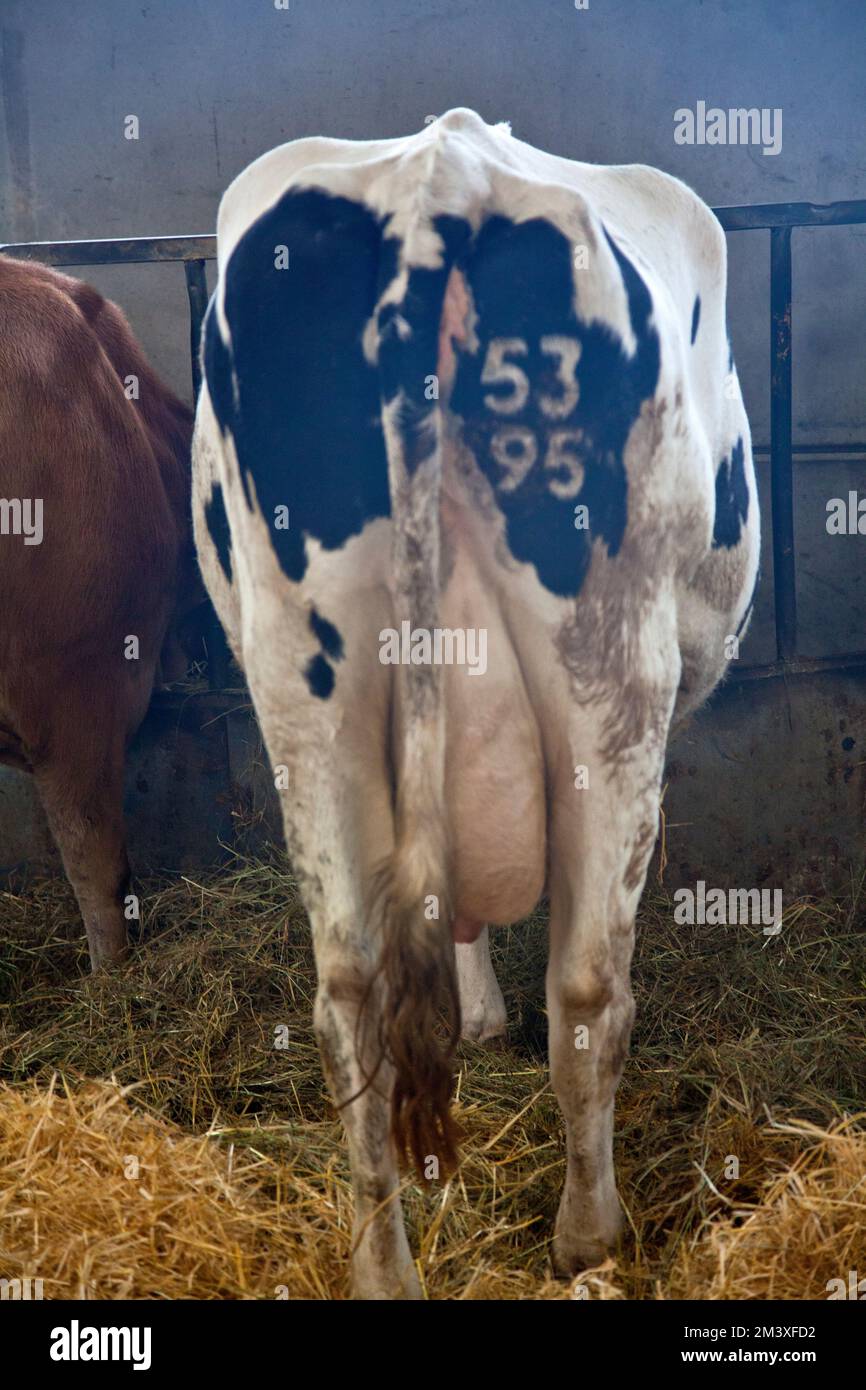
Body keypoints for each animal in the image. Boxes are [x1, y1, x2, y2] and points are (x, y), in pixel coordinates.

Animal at [193, 108, 759, 1298]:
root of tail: (437, 177)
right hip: (613, 670)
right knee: (588, 987)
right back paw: (590, 1237)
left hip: (301, 683)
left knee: (348, 994)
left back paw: (383, 1268)